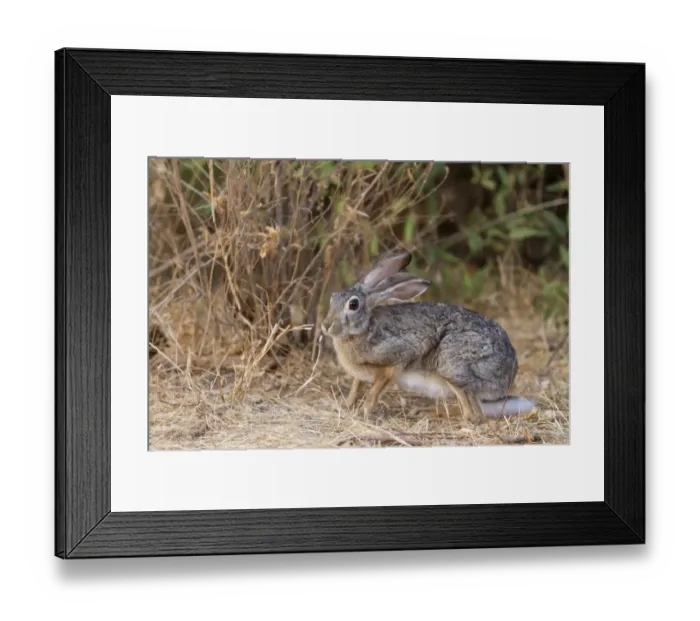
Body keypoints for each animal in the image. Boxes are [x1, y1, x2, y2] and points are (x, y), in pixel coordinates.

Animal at [320, 250, 536, 422]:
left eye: (353, 304)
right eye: (333, 297)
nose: (325, 326)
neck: (365, 328)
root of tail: (508, 376)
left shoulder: (396, 359)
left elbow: (376, 389)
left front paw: (363, 412)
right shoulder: (360, 376)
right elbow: (355, 388)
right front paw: (345, 406)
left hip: (452, 367)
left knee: (474, 415)